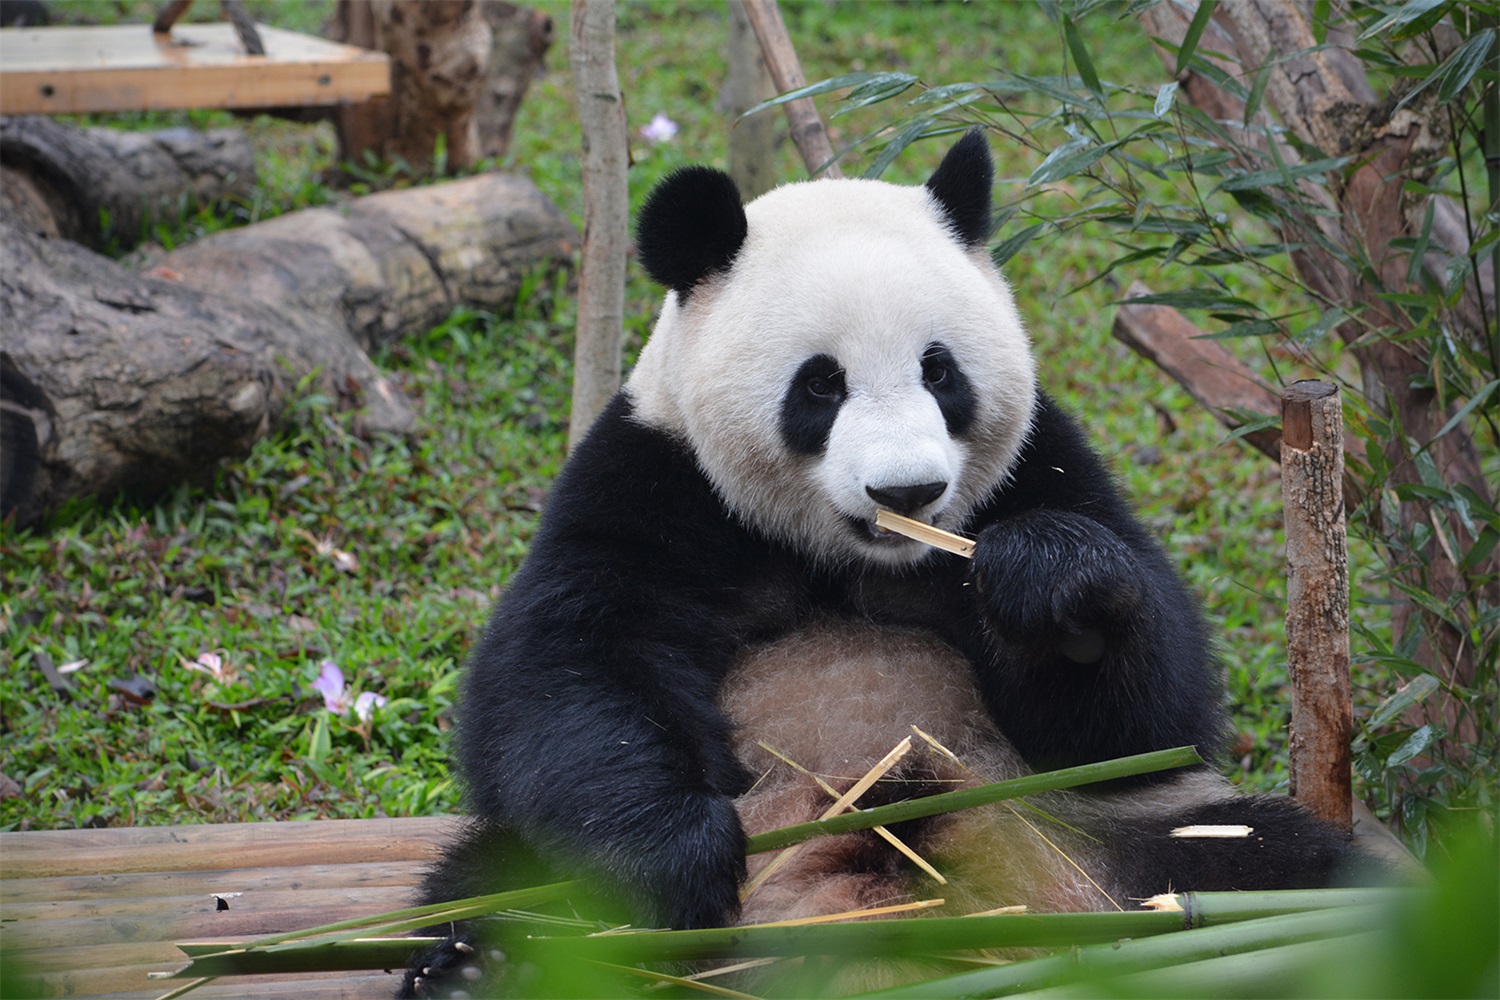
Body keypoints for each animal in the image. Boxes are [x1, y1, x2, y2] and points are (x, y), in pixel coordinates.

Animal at [405, 131, 1368, 995]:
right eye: (820, 384)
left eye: (939, 371)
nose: (909, 490)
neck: (852, 557)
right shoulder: (653, 483)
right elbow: (570, 670)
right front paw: (675, 856)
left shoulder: (1043, 465)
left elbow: (1142, 722)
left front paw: (1049, 585)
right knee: (507, 888)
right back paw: (481, 968)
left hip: (1111, 834)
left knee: (1284, 865)